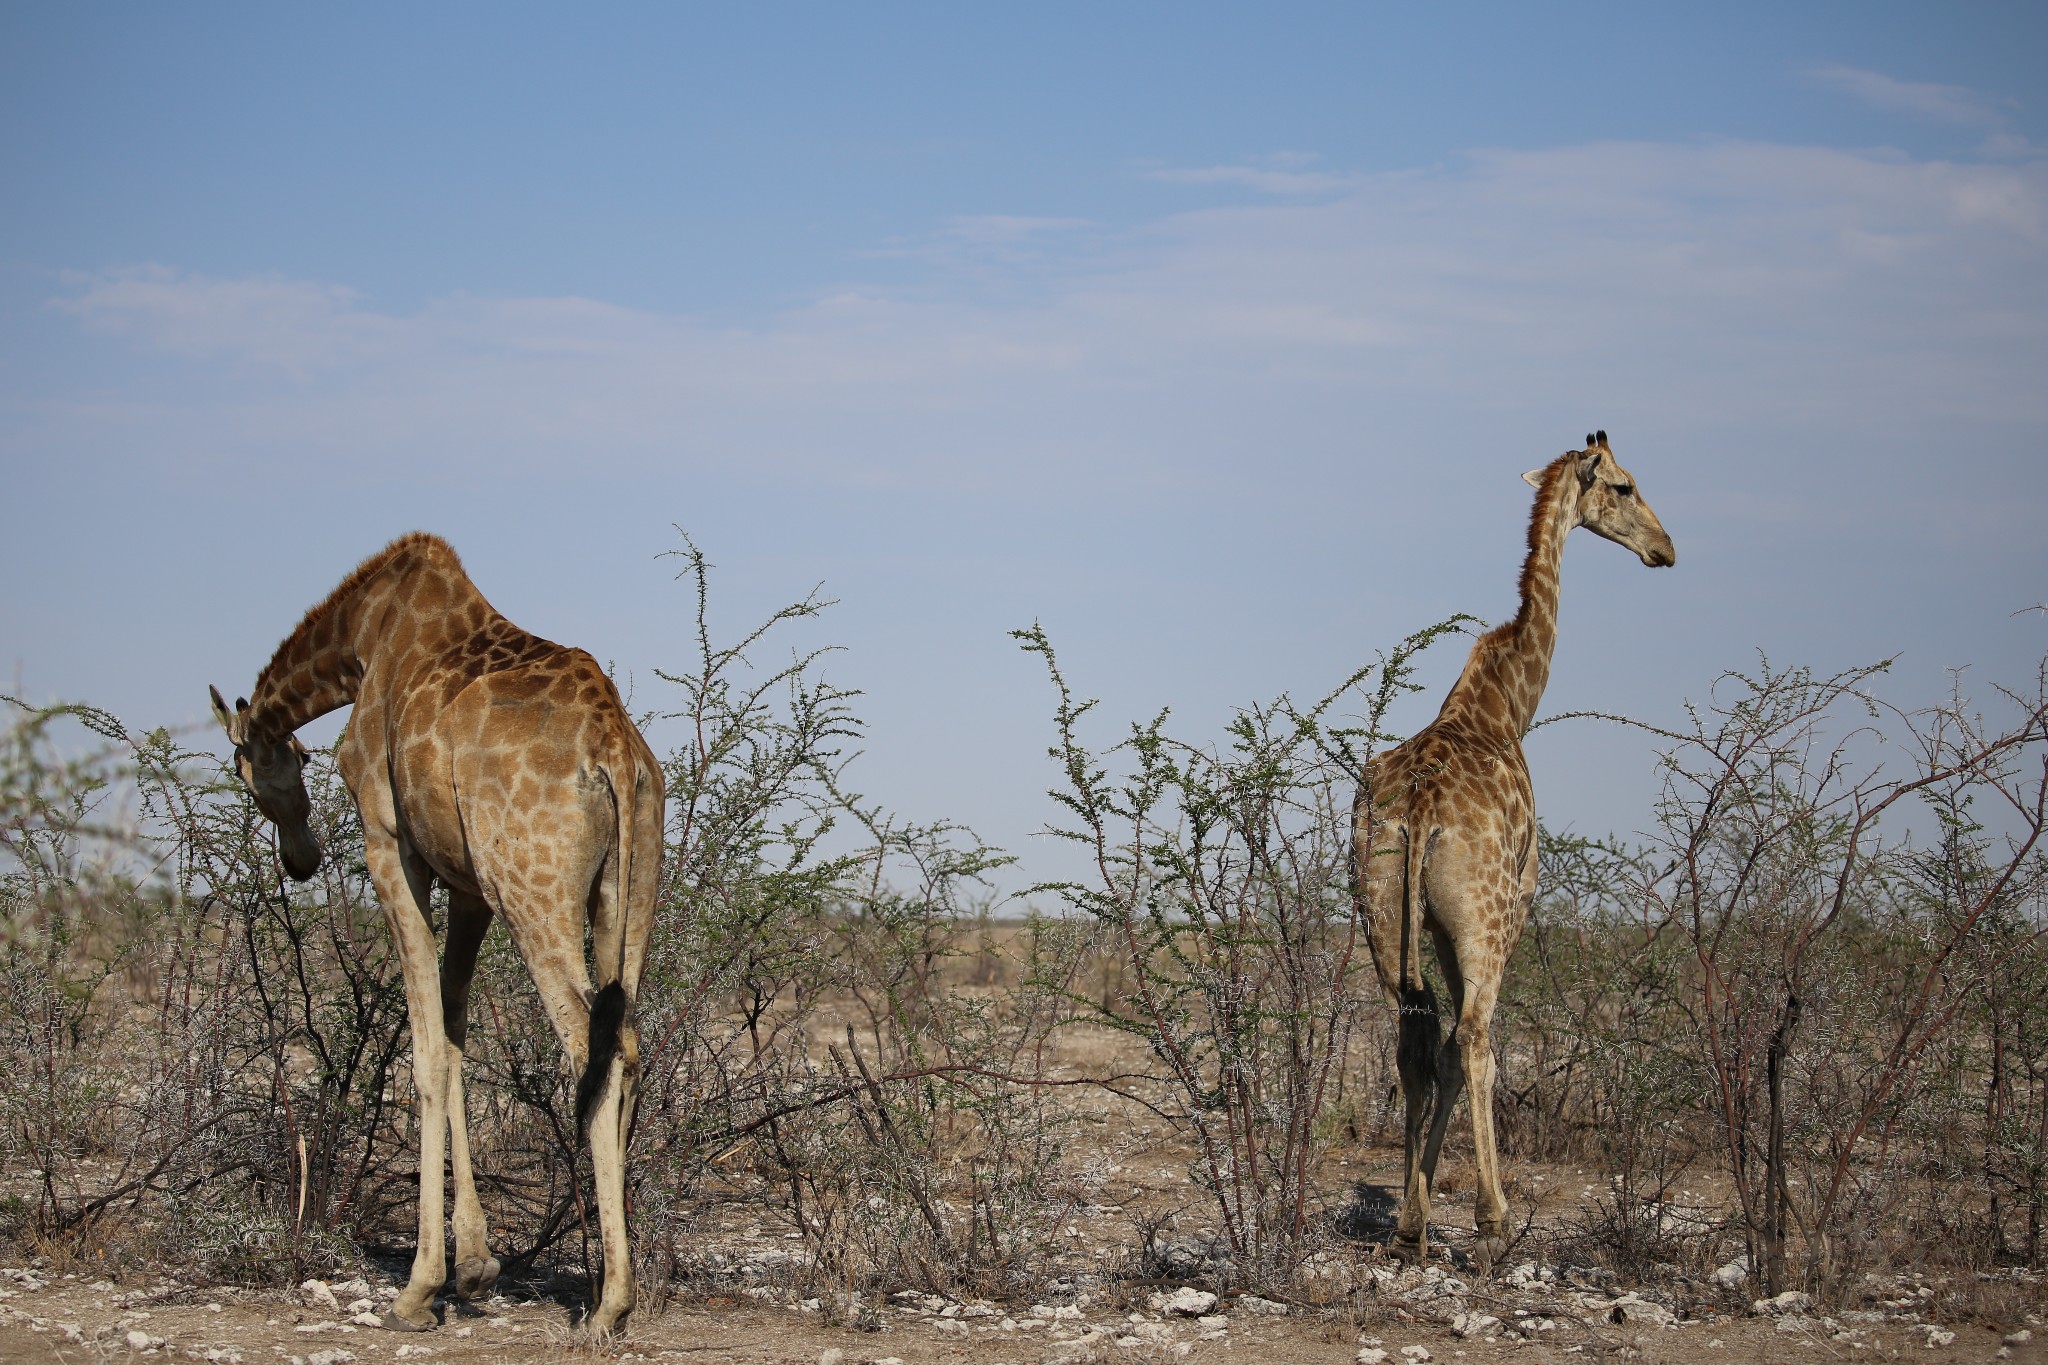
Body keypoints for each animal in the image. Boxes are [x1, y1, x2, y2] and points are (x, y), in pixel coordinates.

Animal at [206, 532, 659, 1334]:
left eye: (249, 771)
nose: (300, 859)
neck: (362, 637)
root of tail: (615, 751)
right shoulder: (471, 885)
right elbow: (453, 1039)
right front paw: (476, 1269)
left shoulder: (391, 843)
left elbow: (424, 1059)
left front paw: (420, 1288)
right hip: (629, 892)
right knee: (628, 1045)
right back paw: (605, 1279)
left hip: (531, 888)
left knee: (588, 1044)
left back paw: (611, 1303)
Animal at [1351, 429, 1671, 1268]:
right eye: (1625, 486)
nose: (1665, 548)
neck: (1508, 701)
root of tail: (1421, 808)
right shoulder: (1516, 900)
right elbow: (1471, 1044)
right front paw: (1457, 1211)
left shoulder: (1429, 923)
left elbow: (1429, 1054)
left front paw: (1415, 1212)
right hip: (1488, 918)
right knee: (1476, 1037)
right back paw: (1494, 1218)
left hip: (1380, 916)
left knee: (1413, 1038)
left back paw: (1410, 1226)